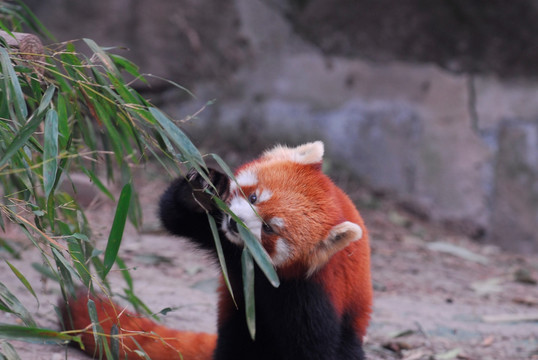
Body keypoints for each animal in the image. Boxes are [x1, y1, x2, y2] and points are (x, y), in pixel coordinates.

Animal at [60, 142, 370, 358]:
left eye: (268, 228)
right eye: (253, 197)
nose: (235, 223)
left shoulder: (313, 294)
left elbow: (314, 348)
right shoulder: (223, 240)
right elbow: (176, 216)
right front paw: (200, 190)